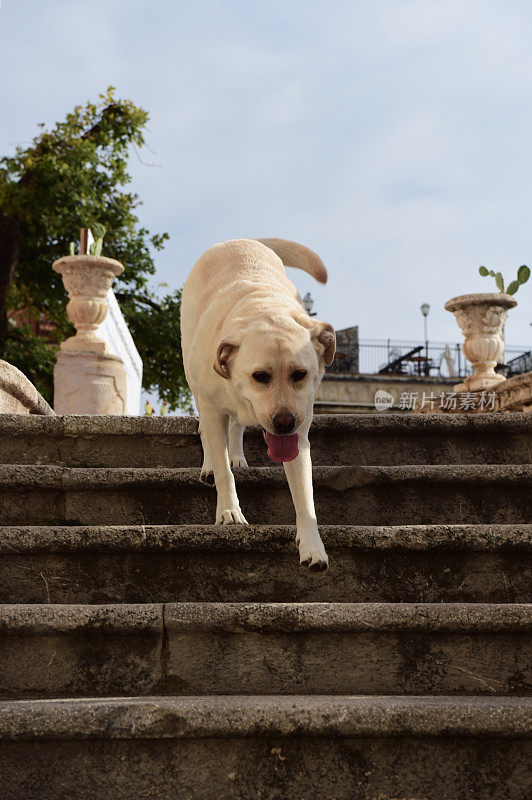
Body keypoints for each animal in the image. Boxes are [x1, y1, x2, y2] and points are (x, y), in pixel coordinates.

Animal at [181, 238, 334, 568]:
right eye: (259, 376)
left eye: (300, 374)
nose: (285, 422)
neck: (263, 308)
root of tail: (240, 239)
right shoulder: (212, 408)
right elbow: (222, 469)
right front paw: (229, 512)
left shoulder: (299, 435)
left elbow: (305, 496)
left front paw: (312, 546)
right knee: (209, 435)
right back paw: (210, 466)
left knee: (237, 426)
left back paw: (237, 456)